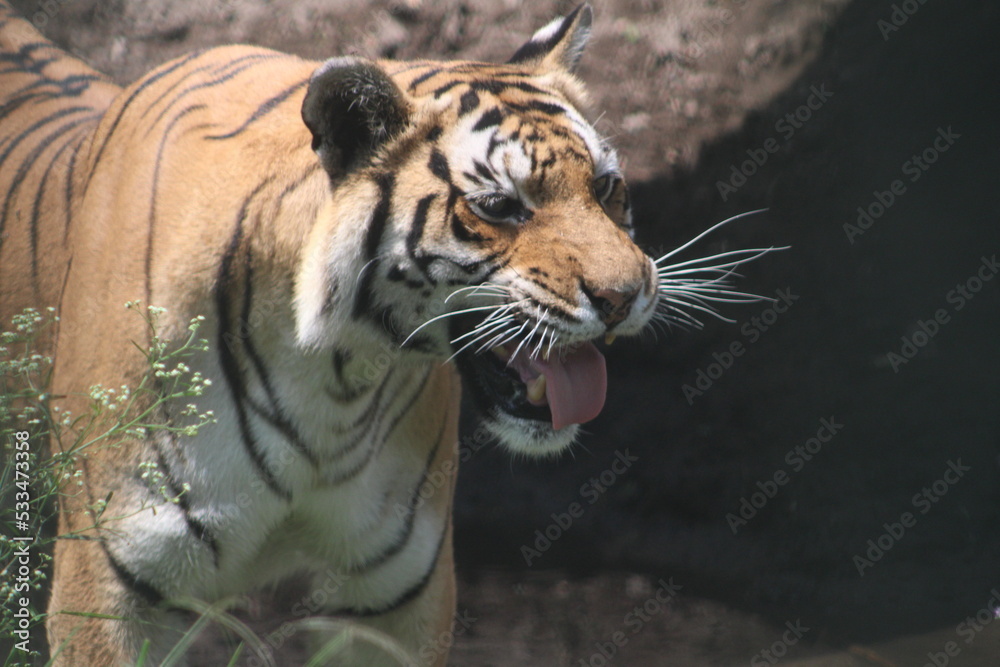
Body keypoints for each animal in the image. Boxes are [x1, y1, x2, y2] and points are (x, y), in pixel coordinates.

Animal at [0, 2, 763, 665]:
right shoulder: (110, 585)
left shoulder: (396, 592)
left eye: (605, 187)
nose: (626, 296)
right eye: (500, 206)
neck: (327, 374)